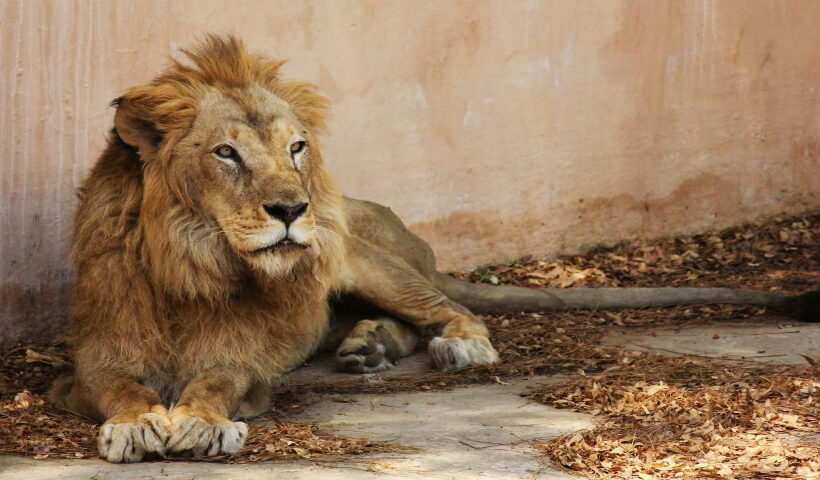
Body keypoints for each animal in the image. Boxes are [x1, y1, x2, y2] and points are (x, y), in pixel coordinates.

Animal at [50, 36, 817, 463]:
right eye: (227, 154)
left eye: (295, 148)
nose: (293, 209)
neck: (195, 265)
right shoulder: (97, 358)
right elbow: (121, 390)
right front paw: (138, 424)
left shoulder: (244, 362)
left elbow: (214, 386)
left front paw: (204, 428)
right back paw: (367, 348)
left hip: (358, 255)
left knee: (448, 309)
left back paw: (454, 347)